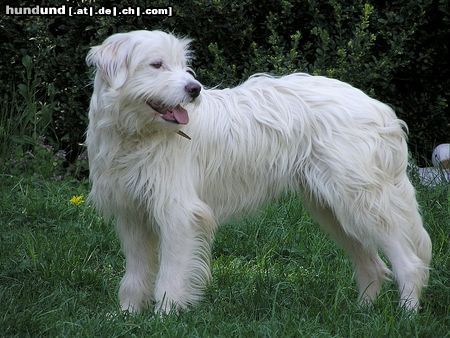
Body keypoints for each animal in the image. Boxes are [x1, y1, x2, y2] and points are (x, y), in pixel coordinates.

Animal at [84, 30, 432, 312]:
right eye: (156, 65)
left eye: (183, 65)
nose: (195, 89)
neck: (136, 136)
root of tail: (378, 107)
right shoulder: (131, 215)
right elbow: (134, 276)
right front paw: (128, 315)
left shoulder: (178, 214)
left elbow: (170, 276)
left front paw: (164, 318)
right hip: (333, 209)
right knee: (372, 265)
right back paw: (362, 314)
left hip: (362, 202)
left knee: (408, 262)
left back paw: (406, 315)